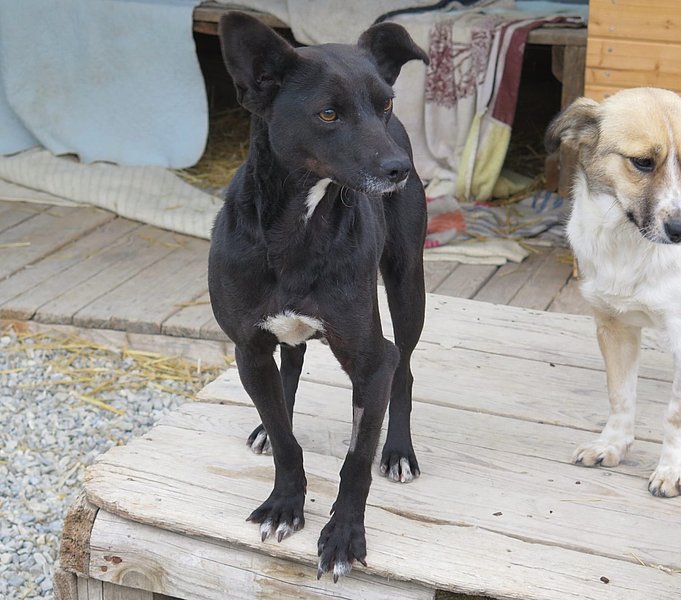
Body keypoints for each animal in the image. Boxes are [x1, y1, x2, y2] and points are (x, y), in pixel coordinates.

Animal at [208, 12, 429, 579]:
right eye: (328, 113)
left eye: (385, 104)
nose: (398, 168)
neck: (297, 227)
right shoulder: (248, 348)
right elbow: (287, 440)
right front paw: (284, 503)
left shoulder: (372, 361)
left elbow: (356, 460)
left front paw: (344, 535)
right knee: (291, 365)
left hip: (407, 284)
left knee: (407, 368)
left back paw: (399, 450)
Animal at [546, 87, 681, 498]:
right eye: (642, 162)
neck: (632, 246)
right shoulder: (615, 327)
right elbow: (620, 395)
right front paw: (612, 445)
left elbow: (674, 415)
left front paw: (671, 470)